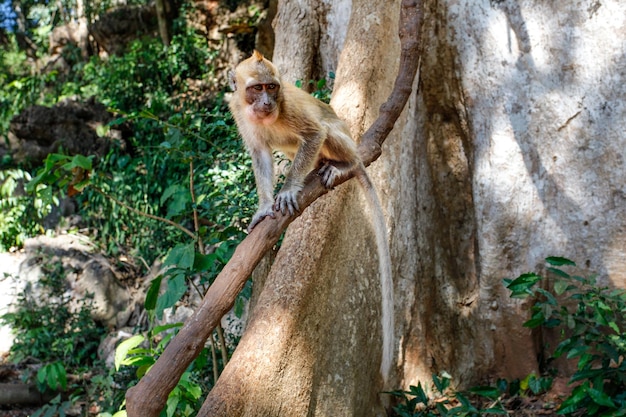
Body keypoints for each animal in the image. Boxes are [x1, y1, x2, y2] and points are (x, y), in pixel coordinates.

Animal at [227, 50, 392, 386]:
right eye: (256, 88)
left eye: (272, 87)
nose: (268, 103)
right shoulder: (240, 114)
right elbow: (260, 154)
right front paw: (264, 206)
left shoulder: (289, 108)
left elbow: (314, 133)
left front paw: (289, 189)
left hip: (346, 142)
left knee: (326, 133)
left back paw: (341, 166)